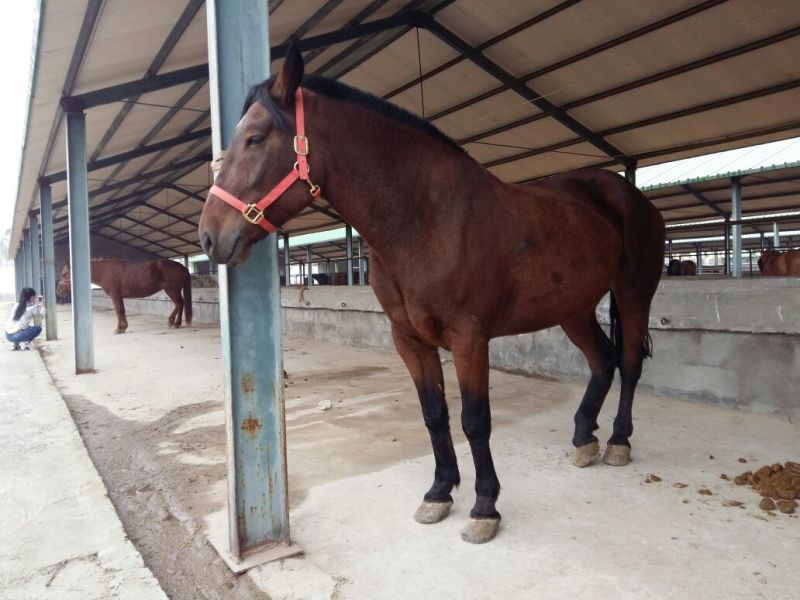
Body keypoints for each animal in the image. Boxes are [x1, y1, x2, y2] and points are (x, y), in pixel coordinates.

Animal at [57, 258, 192, 334]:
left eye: (64, 274)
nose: (58, 291)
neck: (106, 272)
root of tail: (183, 267)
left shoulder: (115, 295)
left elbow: (118, 310)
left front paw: (119, 329)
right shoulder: (119, 296)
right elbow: (122, 310)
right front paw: (123, 327)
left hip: (172, 290)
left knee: (180, 304)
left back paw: (176, 324)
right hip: (169, 290)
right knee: (178, 305)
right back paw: (171, 322)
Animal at [197, 46, 665, 544]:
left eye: (255, 138)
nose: (209, 237)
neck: (427, 218)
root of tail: (627, 192)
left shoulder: (468, 338)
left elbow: (474, 421)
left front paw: (484, 507)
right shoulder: (409, 338)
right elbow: (435, 414)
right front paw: (439, 493)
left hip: (633, 294)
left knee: (629, 363)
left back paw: (617, 440)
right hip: (573, 308)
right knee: (602, 361)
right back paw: (584, 438)